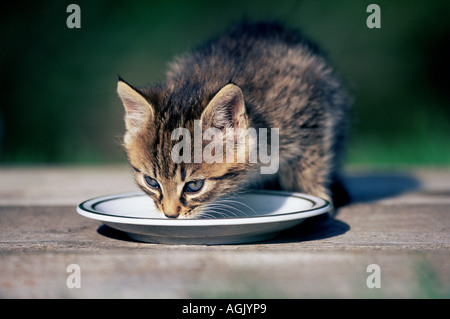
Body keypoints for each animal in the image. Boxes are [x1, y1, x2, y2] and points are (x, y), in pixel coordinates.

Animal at [118, 21, 350, 219]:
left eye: (194, 186)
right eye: (151, 182)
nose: (170, 215)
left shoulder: (313, 112)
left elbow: (310, 165)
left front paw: (317, 198)